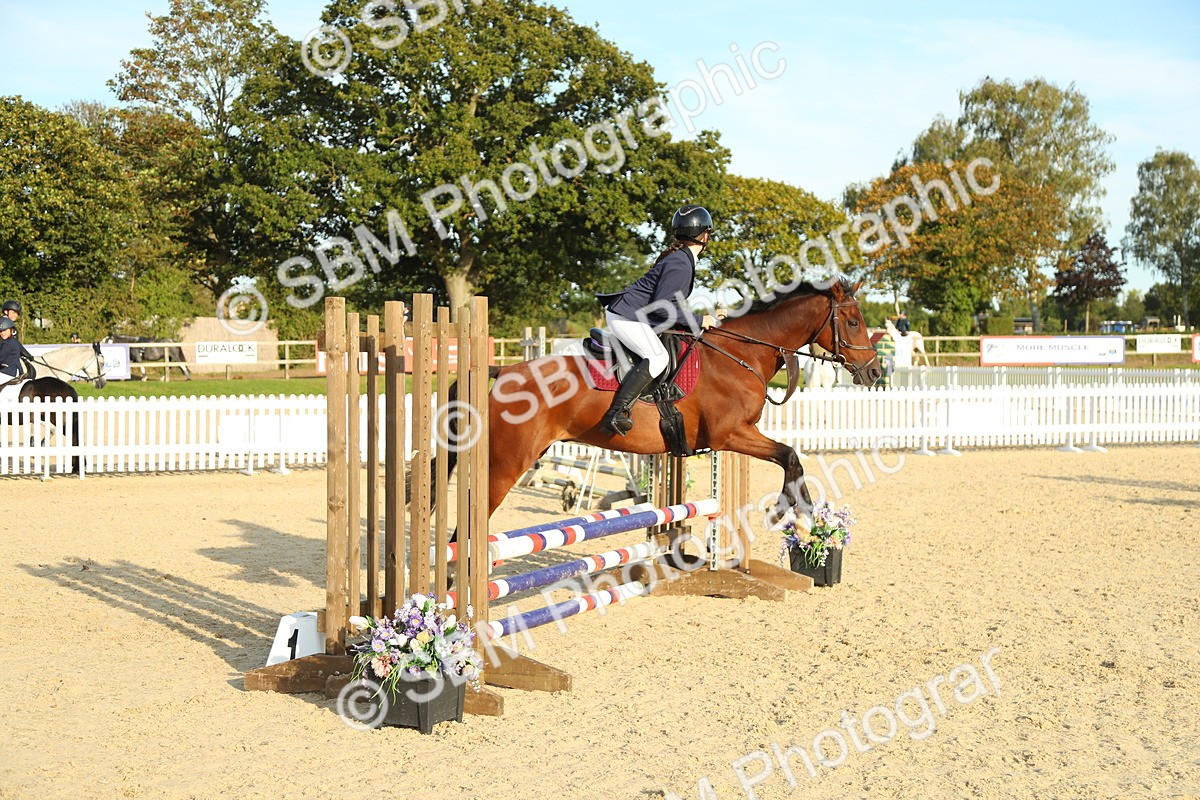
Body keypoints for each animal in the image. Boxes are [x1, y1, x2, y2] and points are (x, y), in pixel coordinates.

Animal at [433, 279, 881, 529]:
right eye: (853, 322)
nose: (875, 372)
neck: (740, 354)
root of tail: (503, 371)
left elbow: (792, 458)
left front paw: (793, 512)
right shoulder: (730, 435)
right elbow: (790, 456)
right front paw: (790, 514)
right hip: (504, 465)